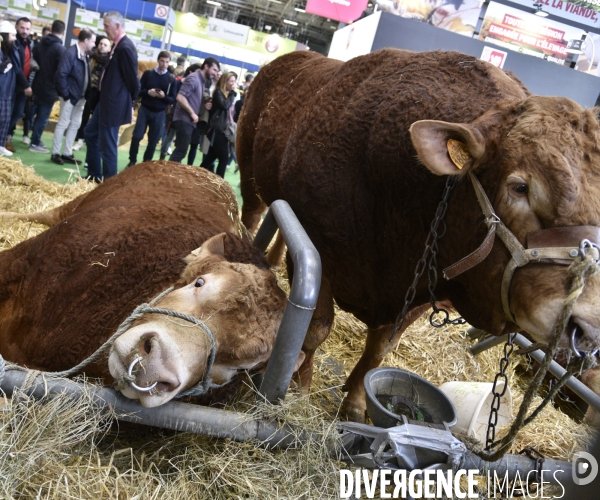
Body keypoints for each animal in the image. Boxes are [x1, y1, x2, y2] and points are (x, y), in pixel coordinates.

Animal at [237, 48, 600, 422]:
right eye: (521, 187)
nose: (586, 327)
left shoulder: (425, 283)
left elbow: (381, 347)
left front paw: (356, 403)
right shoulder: (317, 244)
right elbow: (316, 329)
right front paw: (298, 389)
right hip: (248, 170)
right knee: (252, 213)